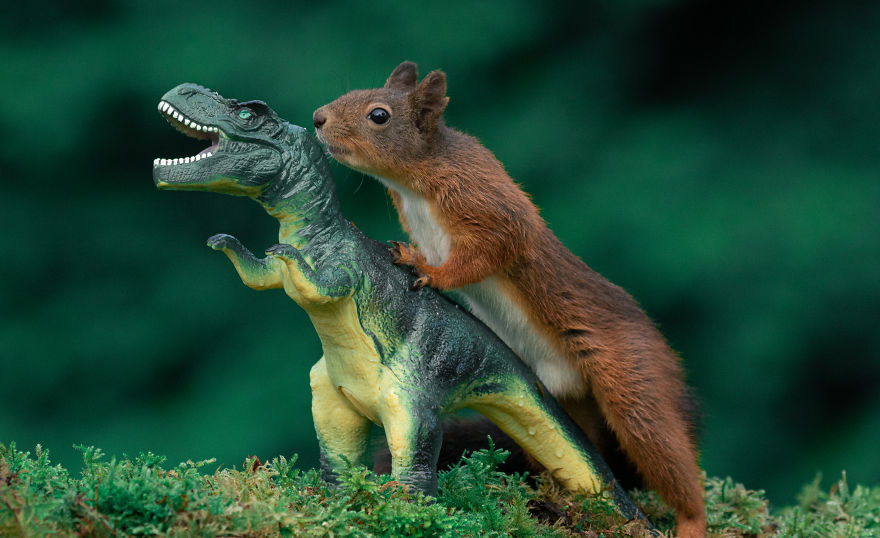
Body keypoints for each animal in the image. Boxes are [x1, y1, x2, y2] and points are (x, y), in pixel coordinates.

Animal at [314, 60, 708, 532]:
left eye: (378, 115)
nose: (317, 118)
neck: (414, 182)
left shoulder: (484, 203)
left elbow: (488, 252)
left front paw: (428, 271)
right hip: (564, 406)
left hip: (632, 380)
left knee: (665, 451)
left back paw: (690, 521)